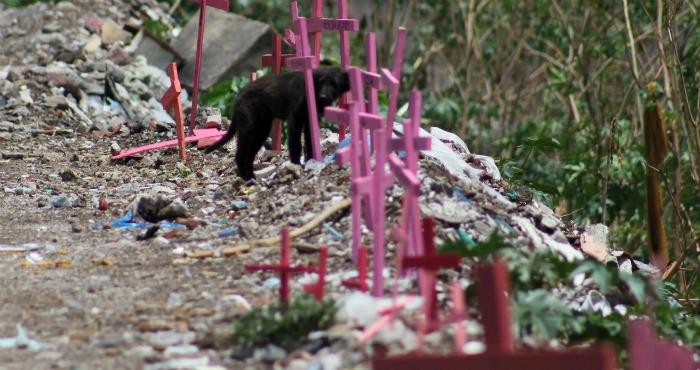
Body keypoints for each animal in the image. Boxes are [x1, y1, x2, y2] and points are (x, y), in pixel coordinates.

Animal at [204, 67, 348, 181]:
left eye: (334, 84)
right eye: (322, 82)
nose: (323, 96)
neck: (312, 88)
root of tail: (239, 94)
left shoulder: (310, 121)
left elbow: (310, 144)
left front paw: (311, 163)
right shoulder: (295, 119)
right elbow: (295, 145)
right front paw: (296, 166)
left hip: (261, 131)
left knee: (249, 156)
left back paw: (252, 178)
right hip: (249, 127)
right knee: (240, 155)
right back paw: (247, 179)